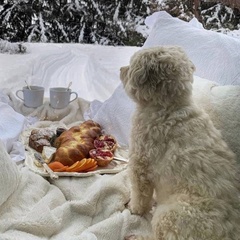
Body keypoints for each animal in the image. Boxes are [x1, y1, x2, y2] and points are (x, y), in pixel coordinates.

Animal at [121, 46, 240, 239]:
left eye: (131, 65)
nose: (120, 70)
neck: (170, 105)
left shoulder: (141, 163)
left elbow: (140, 195)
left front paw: (134, 209)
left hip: (169, 215)